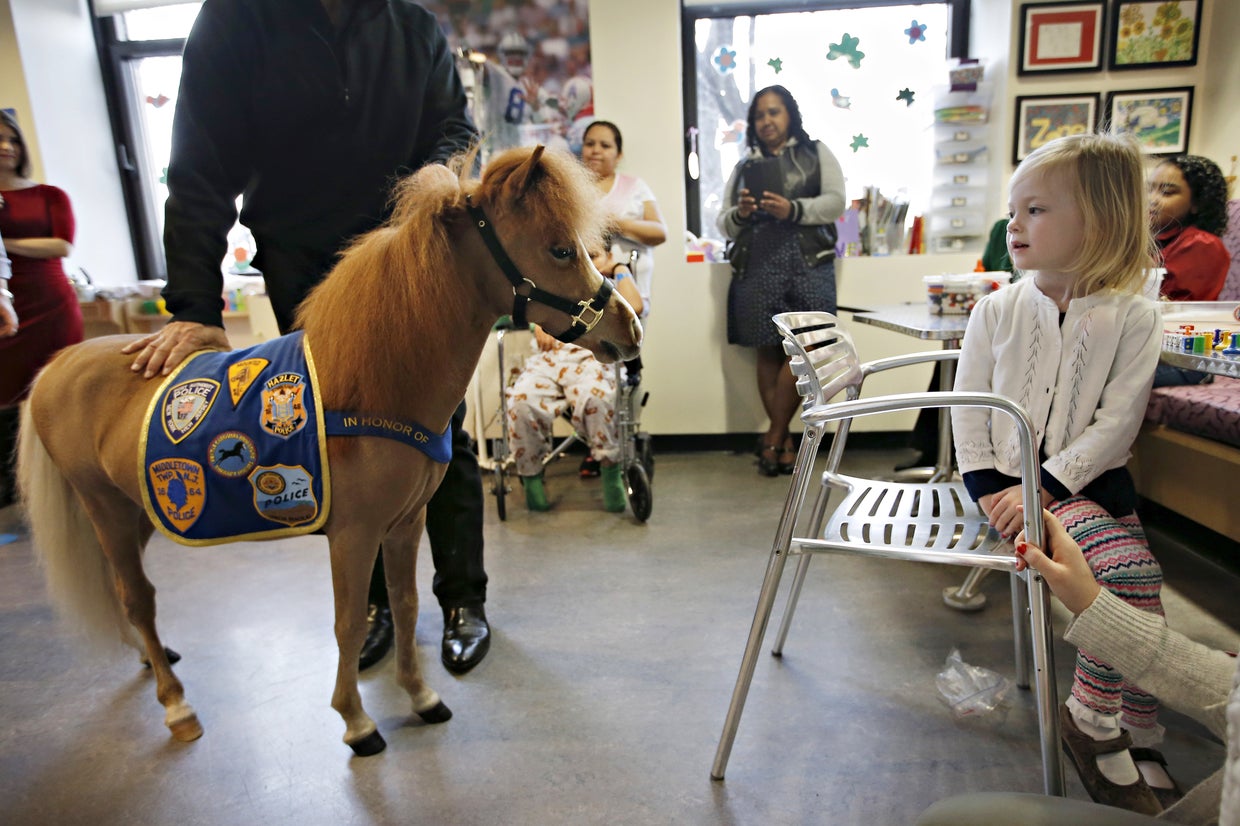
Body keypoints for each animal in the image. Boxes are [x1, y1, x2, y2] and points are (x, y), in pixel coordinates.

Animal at [16, 145, 642, 756]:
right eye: (560, 248)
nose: (630, 330)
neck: (373, 383)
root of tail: (57, 366)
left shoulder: (404, 524)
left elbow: (407, 605)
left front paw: (420, 697)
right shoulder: (353, 534)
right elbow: (347, 624)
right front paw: (357, 721)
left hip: (137, 511)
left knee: (124, 594)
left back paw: (154, 659)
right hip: (105, 508)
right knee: (137, 598)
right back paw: (177, 706)